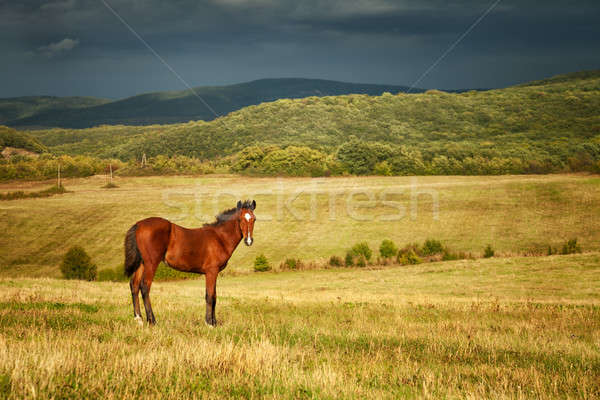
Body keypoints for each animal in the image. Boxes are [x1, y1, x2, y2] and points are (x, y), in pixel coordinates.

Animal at [124, 198, 255, 326]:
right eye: (240, 219)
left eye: (254, 219)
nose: (248, 241)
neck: (219, 237)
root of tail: (139, 224)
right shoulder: (211, 271)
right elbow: (210, 296)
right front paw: (209, 323)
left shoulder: (215, 272)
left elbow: (214, 295)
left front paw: (214, 322)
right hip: (151, 263)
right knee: (145, 286)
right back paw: (152, 321)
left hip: (142, 263)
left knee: (134, 285)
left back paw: (139, 319)